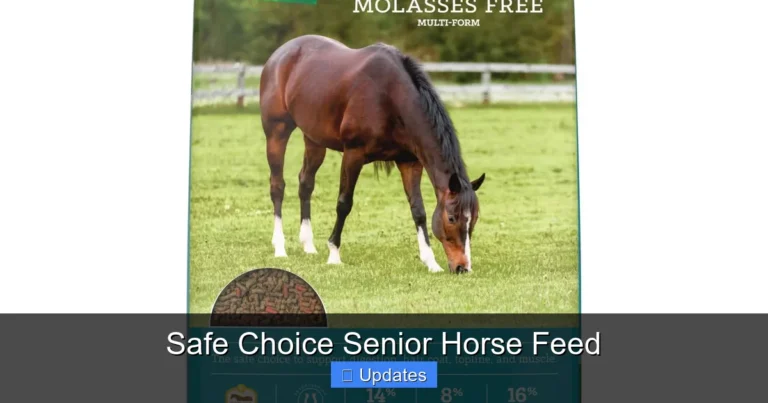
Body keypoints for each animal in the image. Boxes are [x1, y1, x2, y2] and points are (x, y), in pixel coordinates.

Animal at [259, 35, 485, 273]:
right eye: (451, 218)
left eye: (474, 219)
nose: (463, 267)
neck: (390, 96)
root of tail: (280, 54)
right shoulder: (353, 155)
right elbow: (344, 203)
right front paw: (334, 253)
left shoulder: (409, 162)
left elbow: (419, 210)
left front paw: (431, 262)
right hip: (277, 132)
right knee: (277, 186)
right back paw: (280, 247)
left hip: (314, 140)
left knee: (305, 184)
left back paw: (308, 245)